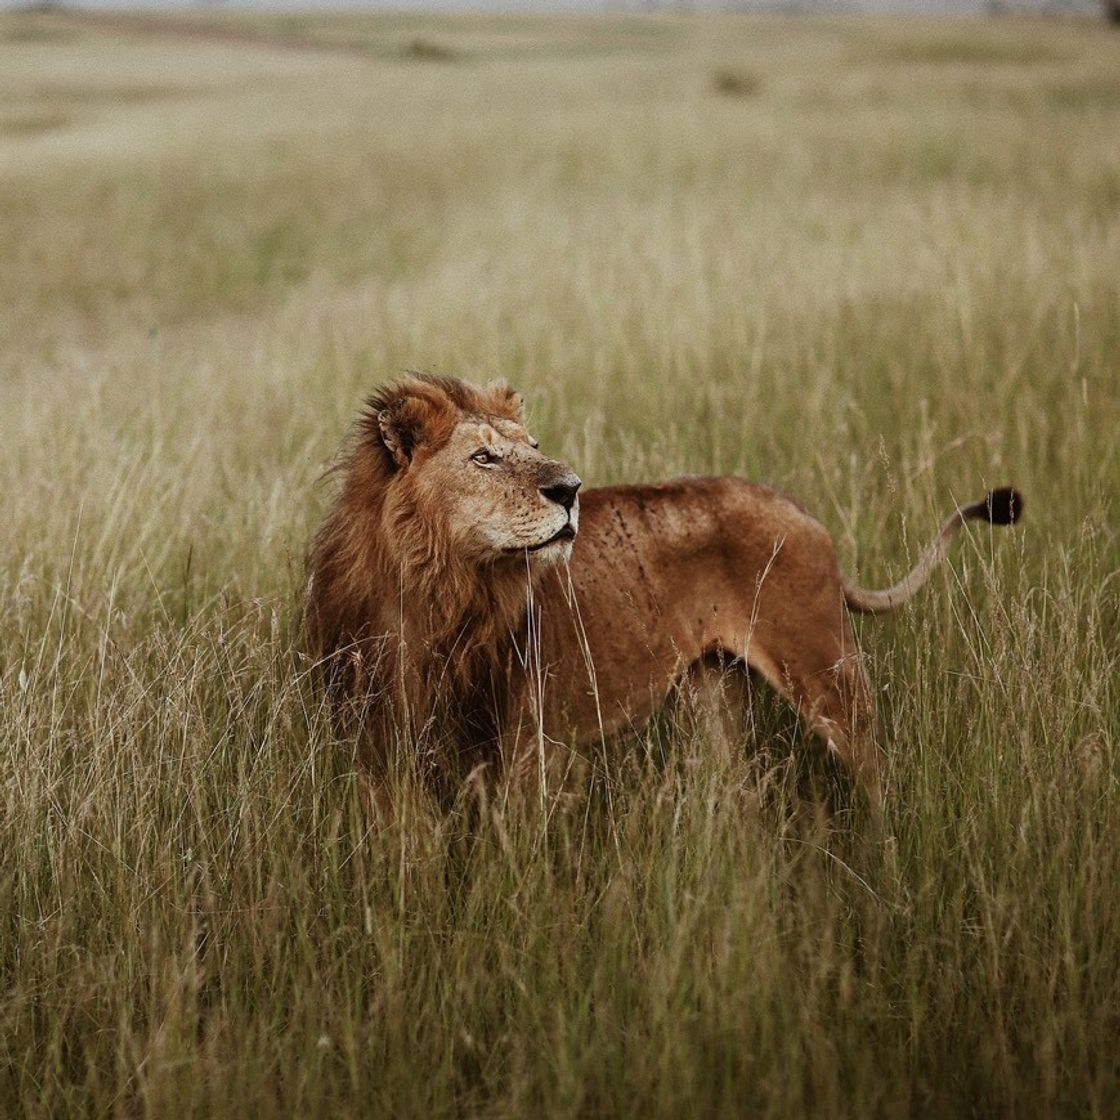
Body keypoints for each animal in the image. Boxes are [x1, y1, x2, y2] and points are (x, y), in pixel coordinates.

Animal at [306, 374, 1025, 815]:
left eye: (534, 447)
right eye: (484, 458)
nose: (570, 488)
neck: (441, 593)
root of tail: (798, 508)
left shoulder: (531, 748)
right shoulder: (381, 755)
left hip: (827, 673)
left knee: (875, 778)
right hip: (714, 696)